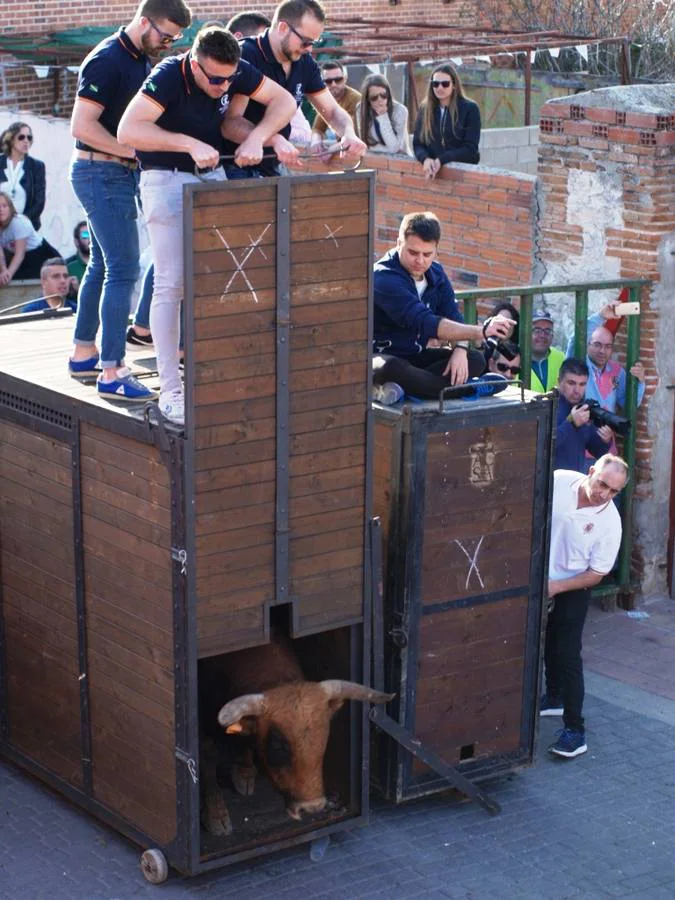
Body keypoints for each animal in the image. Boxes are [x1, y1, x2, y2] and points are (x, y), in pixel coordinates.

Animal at [198, 632, 394, 836]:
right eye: (278, 746)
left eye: (323, 740)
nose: (312, 806)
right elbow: (208, 755)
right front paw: (216, 814)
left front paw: (244, 771)